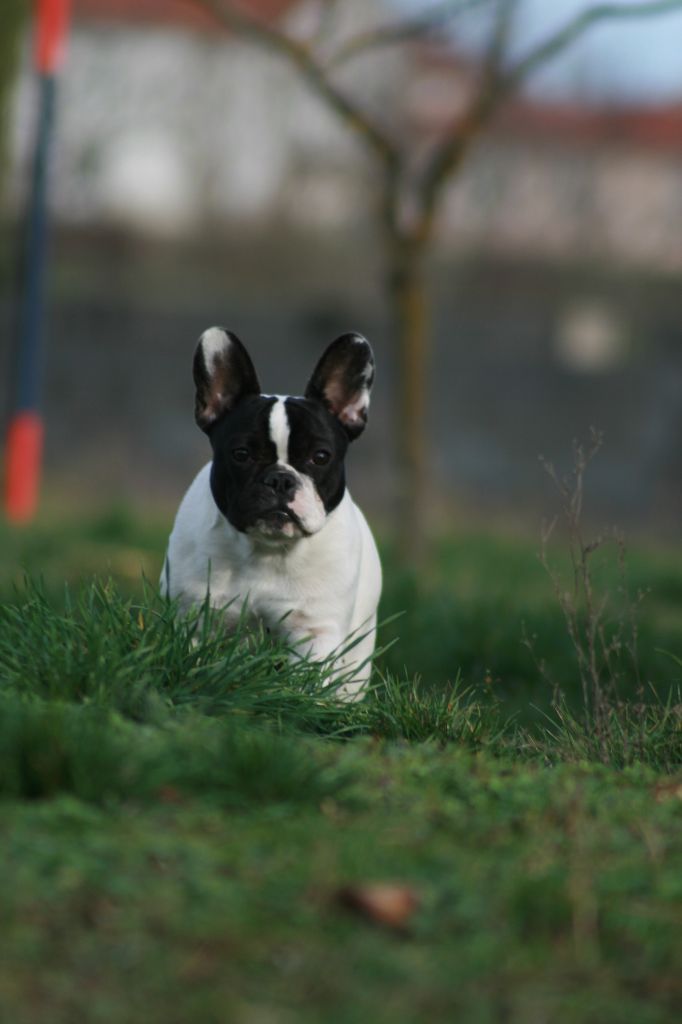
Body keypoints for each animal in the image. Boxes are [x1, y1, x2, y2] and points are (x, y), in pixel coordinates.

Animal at [160, 327, 382, 704]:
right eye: (241, 454)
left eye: (320, 456)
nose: (280, 479)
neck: (265, 550)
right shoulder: (194, 615)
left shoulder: (314, 630)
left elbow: (310, 680)